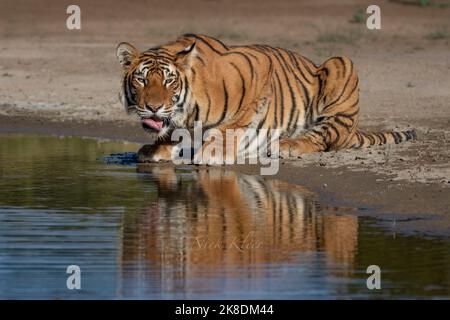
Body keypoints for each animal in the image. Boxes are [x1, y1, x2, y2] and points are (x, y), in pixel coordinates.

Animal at [116, 34, 414, 162]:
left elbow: (233, 124)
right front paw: (157, 148)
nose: (153, 106)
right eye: (142, 79)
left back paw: (288, 145)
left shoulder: (256, 66)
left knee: (323, 137)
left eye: (169, 80)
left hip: (341, 64)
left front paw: (213, 152)